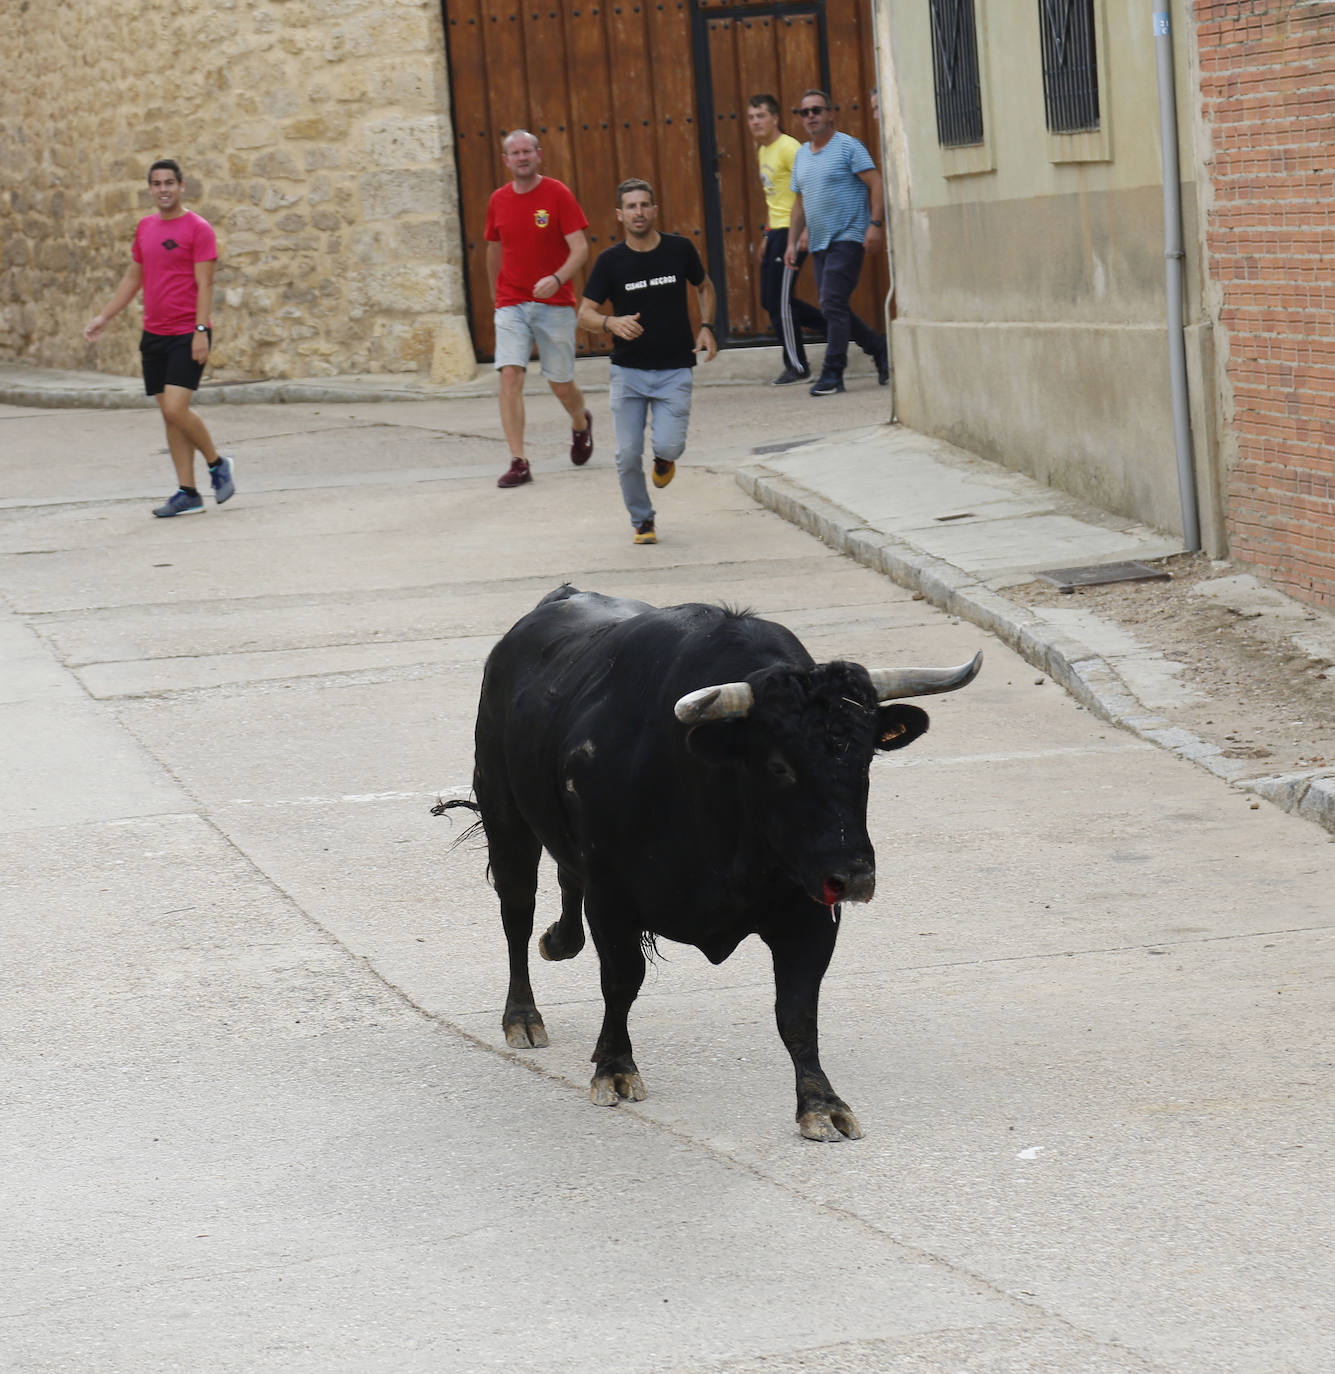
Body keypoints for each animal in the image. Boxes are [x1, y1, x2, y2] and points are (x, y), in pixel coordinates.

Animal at [439, 585, 977, 1143]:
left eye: (865, 758)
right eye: (779, 766)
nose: (854, 877)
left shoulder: (809, 911)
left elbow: (798, 1009)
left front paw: (821, 1103)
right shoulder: (613, 898)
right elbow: (621, 981)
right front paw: (615, 1068)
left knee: (564, 884)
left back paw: (559, 942)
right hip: (505, 815)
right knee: (517, 914)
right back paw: (522, 1016)